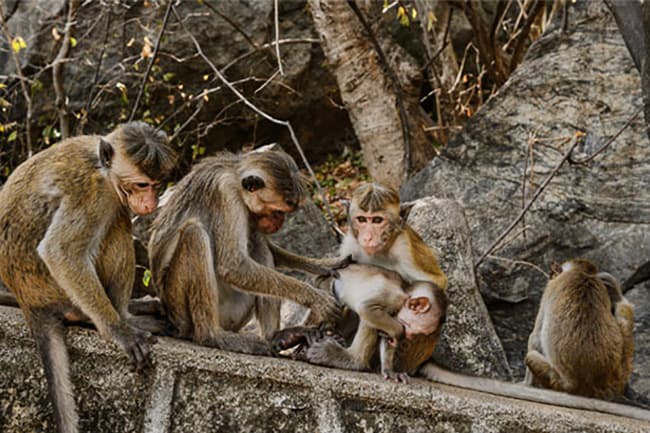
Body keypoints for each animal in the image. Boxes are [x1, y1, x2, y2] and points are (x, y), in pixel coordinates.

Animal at [0, 121, 177, 433]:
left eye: (156, 184)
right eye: (142, 184)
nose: (150, 202)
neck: (103, 166)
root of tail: (29, 302)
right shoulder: (95, 194)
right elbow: (60, 251)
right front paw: (119, 330)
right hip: (57, 292)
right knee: (117, 221)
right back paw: (124, 318)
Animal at [147, 146, 342, 356]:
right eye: (278, 211)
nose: (279, 223)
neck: (235, 175)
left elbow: (266, 248)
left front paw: (323, 264)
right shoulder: (225, 193)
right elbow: (232, 266)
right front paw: (315, 298)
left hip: (234, 313)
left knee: (258, 243)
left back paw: (277, 337)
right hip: (180, 308)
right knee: (194, 235)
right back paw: (212, 336)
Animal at [524, 258, 635, 400]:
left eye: (552, 274)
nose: (551, 274)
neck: (583, 272)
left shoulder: (550, 289)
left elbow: (535, 338)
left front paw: (526, 384)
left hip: (559, 382)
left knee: (531, 356)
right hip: (617, 373)